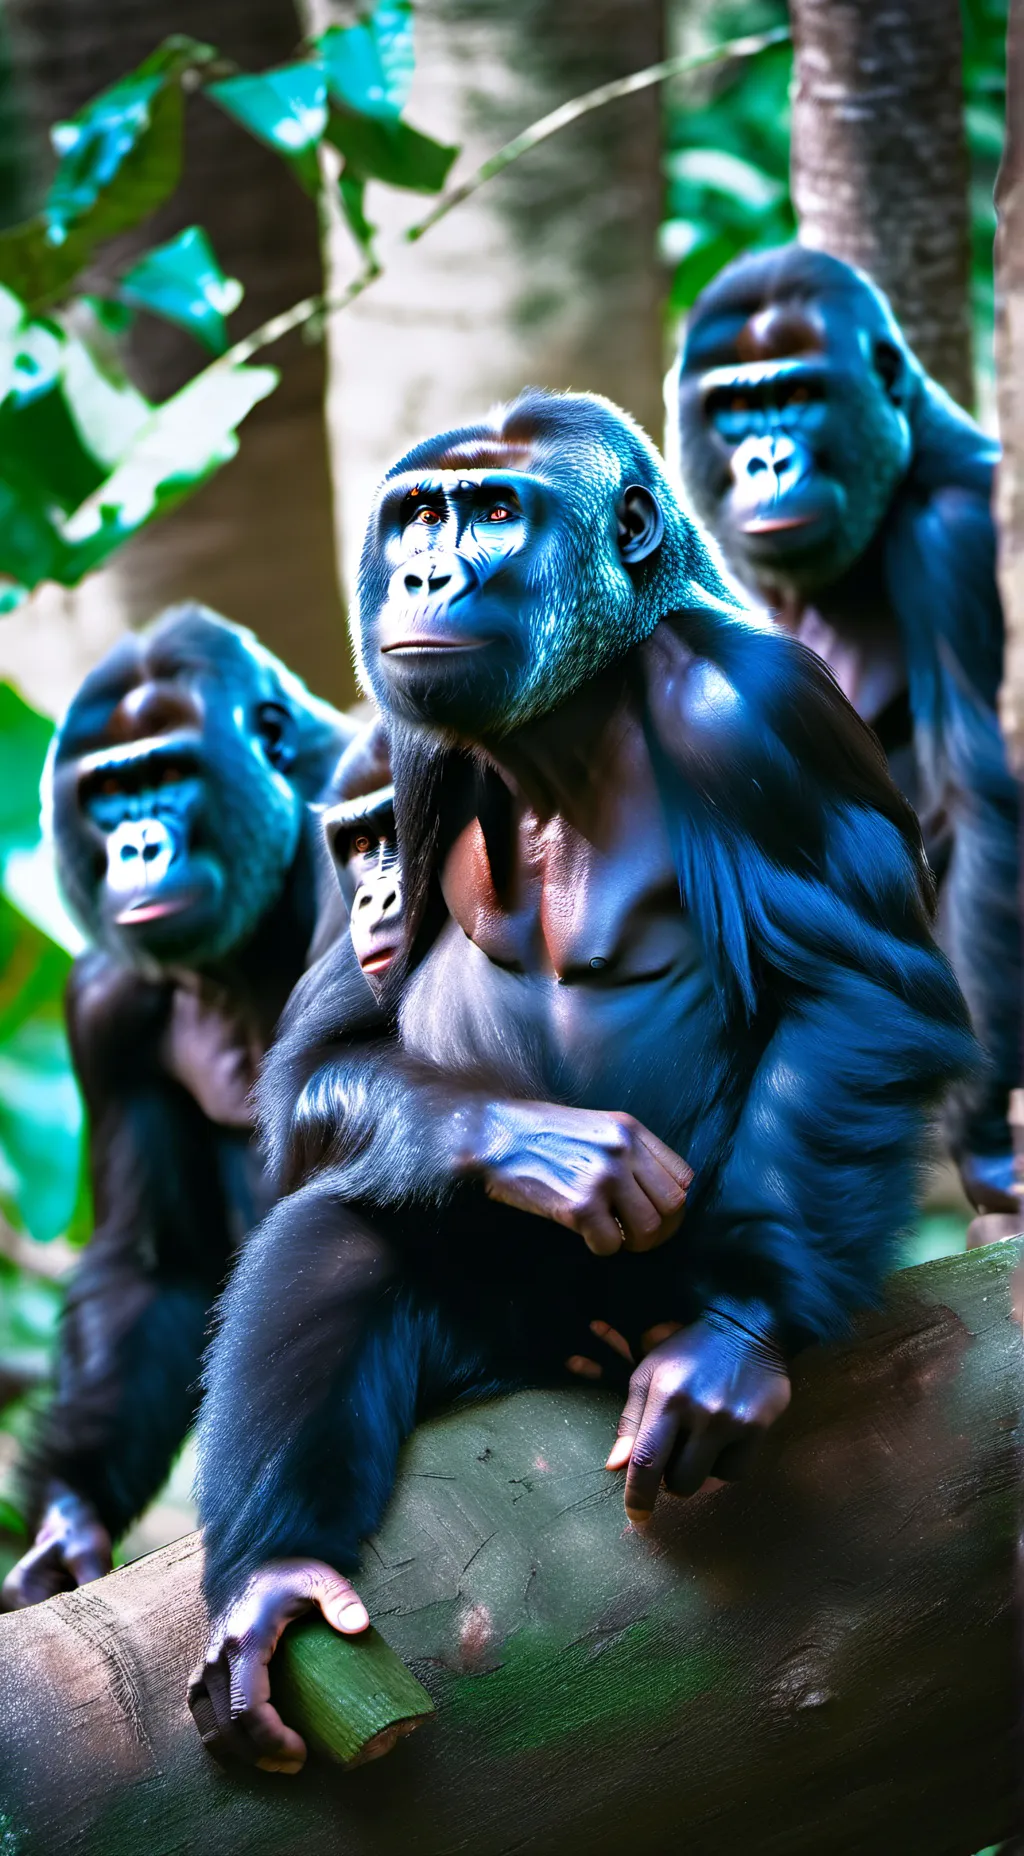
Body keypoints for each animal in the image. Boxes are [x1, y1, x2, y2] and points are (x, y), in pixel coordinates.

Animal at [1, 603, 355, 1610]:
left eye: (168, 776)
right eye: (110, 793)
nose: (138, 846)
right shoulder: (104, 1005)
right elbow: (152, 1266)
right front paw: (68, 1517)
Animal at [187, 390, 975, 1774]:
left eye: (496, 511)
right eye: (421, 513)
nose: (424, 571)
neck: (564, 726)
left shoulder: (759, 712)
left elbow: (859, 996)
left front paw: (731, 1339)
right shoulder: (395, 758)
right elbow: (318, 1072)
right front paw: (554, 1151)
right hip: (503, 1331)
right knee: (337, 1229)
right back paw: (272, 1576)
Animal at [673, 243, 1020, 1214]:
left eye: (798, 394)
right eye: (735, 410)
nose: (766, 460)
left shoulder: (957, 535)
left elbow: (982, 801)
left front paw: (985, 1133)